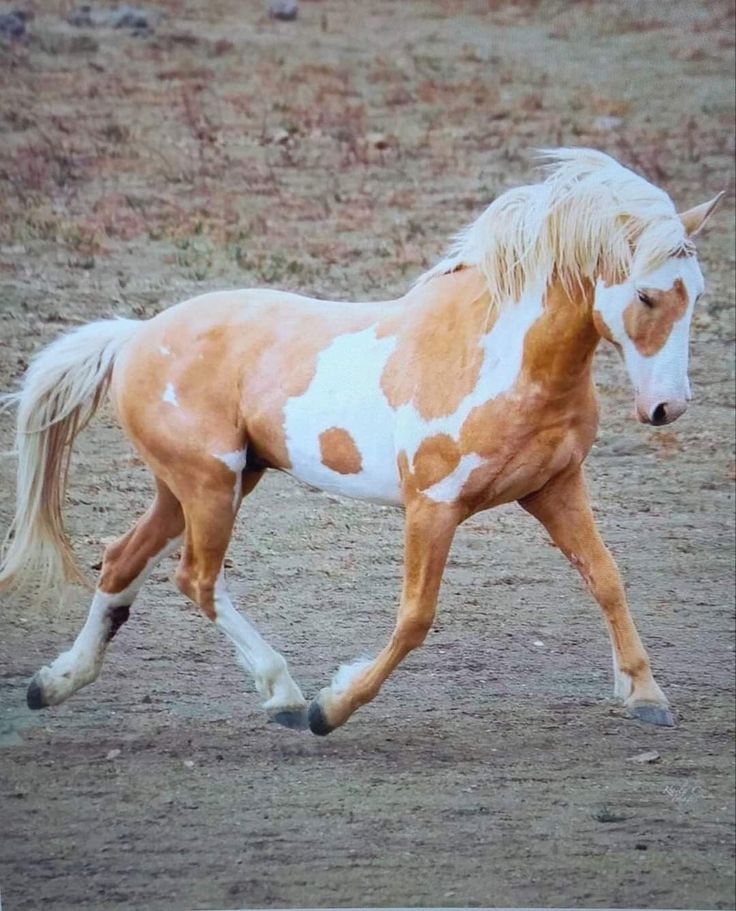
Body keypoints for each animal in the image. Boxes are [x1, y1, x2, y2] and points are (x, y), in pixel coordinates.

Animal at [1, 148, 724, 732]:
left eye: (696, 293)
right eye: (648, 296)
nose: (667, 408)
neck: (500, 358)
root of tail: (134, 335)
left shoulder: (554, 487)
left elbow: (606, 579)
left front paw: (646, 696)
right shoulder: (432, 506)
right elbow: (415, 617)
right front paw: (333, 707)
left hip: (205, 482)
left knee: (123, 559)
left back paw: (53, 684)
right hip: (209, 484)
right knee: (195, 579)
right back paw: (286, 695)